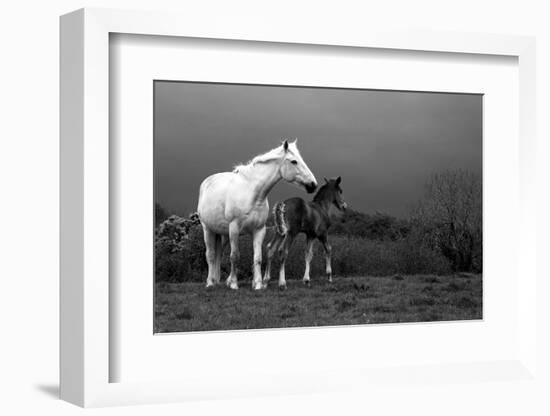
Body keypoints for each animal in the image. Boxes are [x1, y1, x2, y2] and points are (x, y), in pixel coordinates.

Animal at [198, 140, 320, 290]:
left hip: (222, 234)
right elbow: (234, 256)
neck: (252, 194)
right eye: (294, 161)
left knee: (218, 254)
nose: (313, 185)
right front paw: (234, 284)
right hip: (208, 229)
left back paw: (217, 280)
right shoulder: (234, 229)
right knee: (210, 255)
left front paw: (258, 284)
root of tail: (207, 181)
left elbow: (257, 258)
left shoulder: (259, 230)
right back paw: (210, 282)